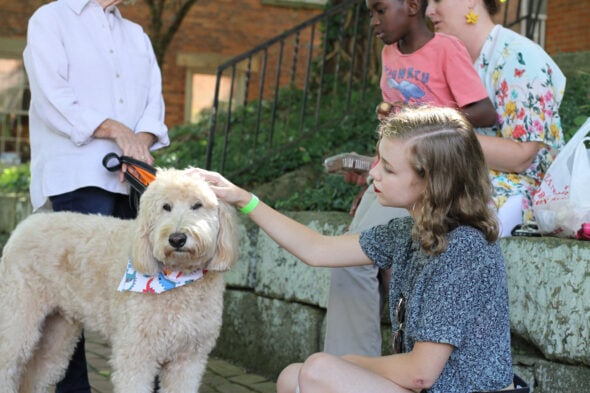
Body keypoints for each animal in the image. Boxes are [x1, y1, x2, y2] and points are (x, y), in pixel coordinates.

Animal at [0, 167, 240, 390]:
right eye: (166, 207)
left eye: (198, 205)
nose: (177, 239)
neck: (178, 279)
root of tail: (26, 224)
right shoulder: (135, 353)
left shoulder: (189, 359)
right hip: (18, 318)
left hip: (58, 333)